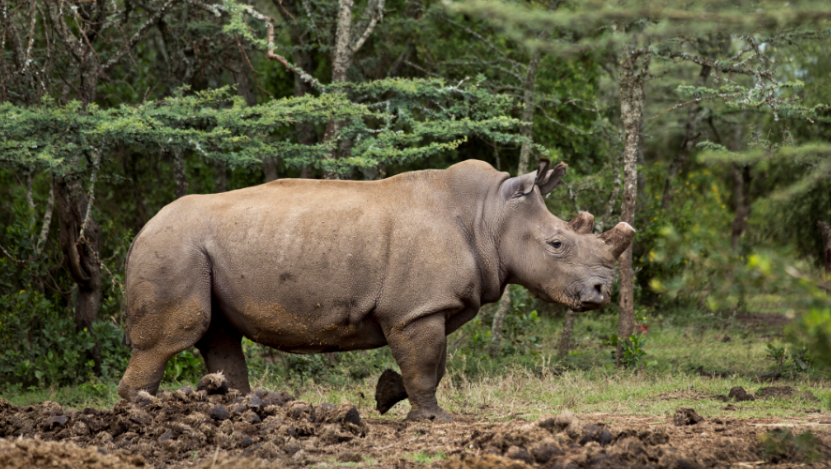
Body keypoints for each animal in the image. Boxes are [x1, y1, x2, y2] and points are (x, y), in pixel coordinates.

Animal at [117, 158, 632, 420]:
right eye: (557, 244)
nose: (602, 293)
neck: (490, 214)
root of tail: (140, 230)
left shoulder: (425, 307)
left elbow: (431, 364)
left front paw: (387, 395)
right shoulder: (416, 310)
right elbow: (425, 365)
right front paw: (433, 421)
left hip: (196, 249)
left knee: (221, 336)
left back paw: (245, 412)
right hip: (173, 246)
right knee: (174, 337)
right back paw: (140, 415)